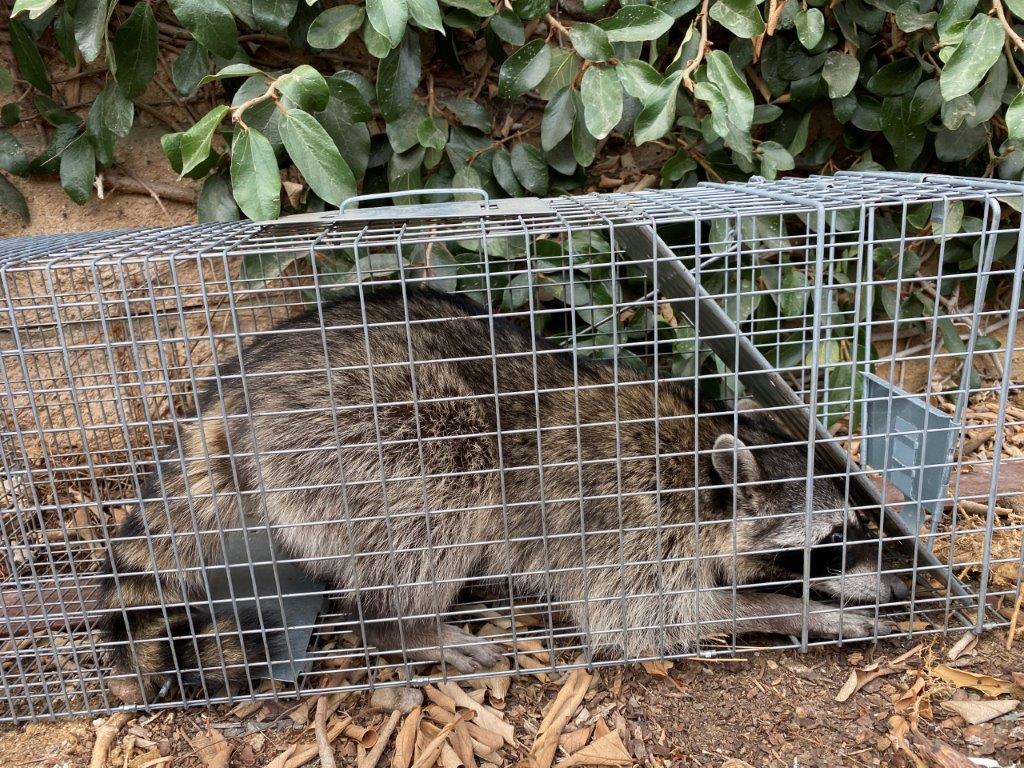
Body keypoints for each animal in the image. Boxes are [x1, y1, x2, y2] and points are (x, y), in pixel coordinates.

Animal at [97, 287, 906, 703]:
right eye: (831, 543)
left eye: (858, 523)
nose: (899, 584)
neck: (702, 457)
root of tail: (242, 384)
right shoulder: (630, 524)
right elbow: (660, 621)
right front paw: (796, 610)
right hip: (371, 432)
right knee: (443, 498)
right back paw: (407, 626)